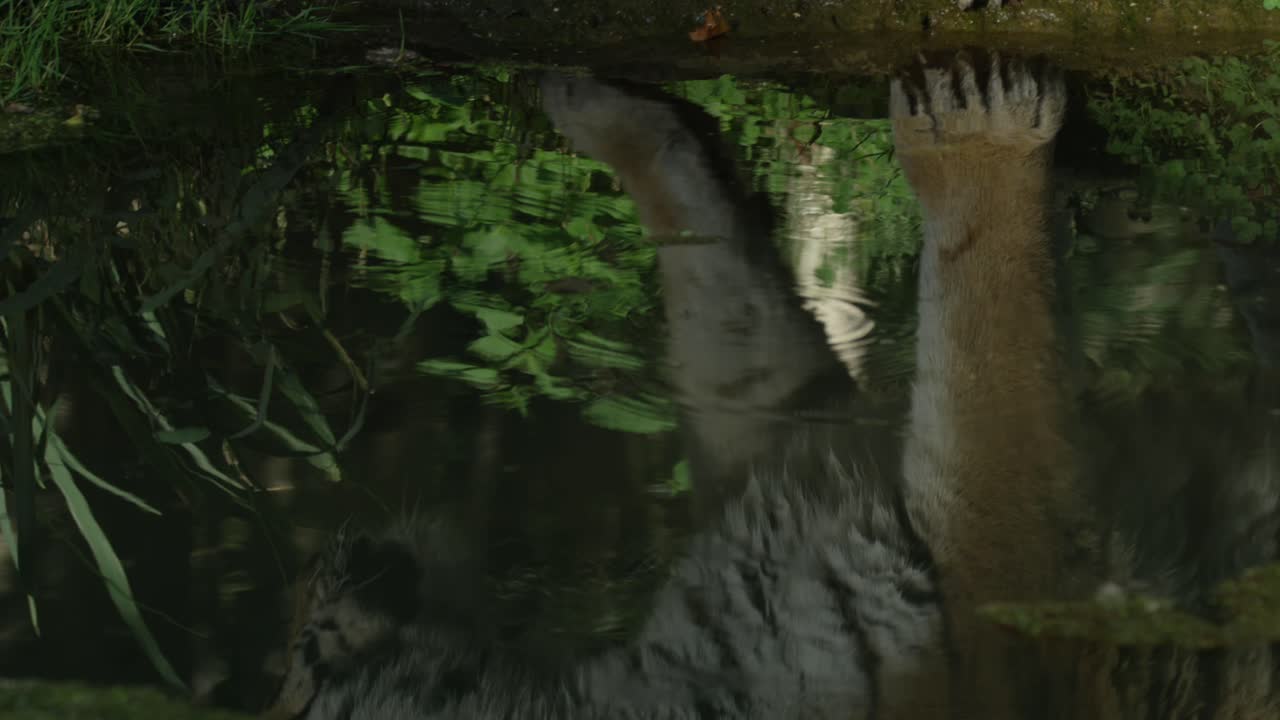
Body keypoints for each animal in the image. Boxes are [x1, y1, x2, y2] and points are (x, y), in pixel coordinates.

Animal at [268, 52, 1280, 719]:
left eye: (298, 649)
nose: (330, 552)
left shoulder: (773, 446)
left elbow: (707, 265)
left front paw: (599, 107)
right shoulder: (991, 586)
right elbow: (986, 333)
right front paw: (977, 133)